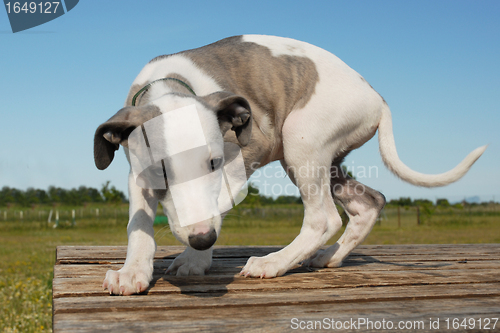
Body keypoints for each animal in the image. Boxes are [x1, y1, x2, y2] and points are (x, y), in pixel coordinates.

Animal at [93, 35, 484, 294]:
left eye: (213, 163)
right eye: (160, 171)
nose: (202, 239)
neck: (169, 87)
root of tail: (378, 100)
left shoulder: (247, 154)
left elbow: (217, 202)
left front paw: (194, 259)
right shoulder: (136, 173)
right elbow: (138, 224)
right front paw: (132, 271)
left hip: (300, 139)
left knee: (324, 218)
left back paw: (273, 262)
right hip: (329, 159)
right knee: (369, 202)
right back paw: (329, 257)